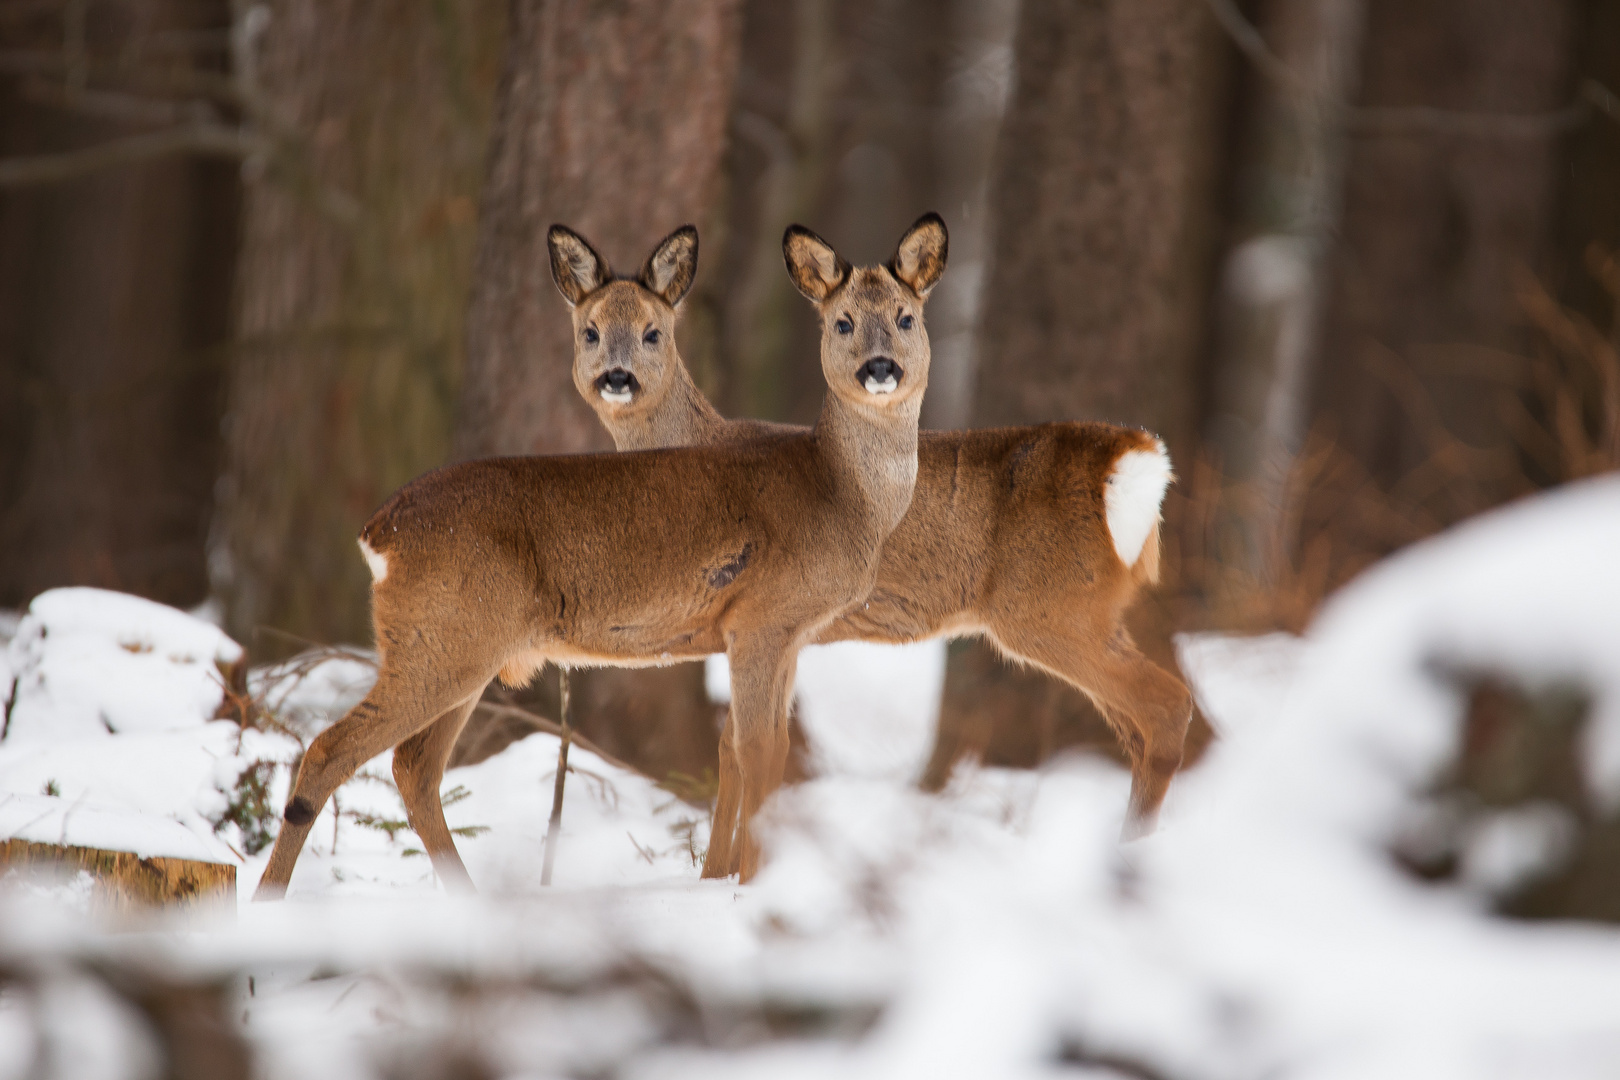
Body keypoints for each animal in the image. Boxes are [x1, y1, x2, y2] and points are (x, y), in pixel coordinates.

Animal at [252, 213, 946, 893]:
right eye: (842, 321)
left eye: (907, 317)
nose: (880, 368)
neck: (837, 492)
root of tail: (378, 533)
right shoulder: (762, 620)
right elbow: (756, 753)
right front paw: (750, 887)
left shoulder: (788, 636)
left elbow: (762, 753)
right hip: (440, 640)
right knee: (330, 749)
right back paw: (268, 899)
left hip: (461, 647)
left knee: (413, 765)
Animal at [550, 223, 1198, 841]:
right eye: (589, 331)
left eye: (653, 332)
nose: (616, 378)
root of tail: (1136, 456)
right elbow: (735, 747)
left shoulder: (762, 619)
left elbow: (741, 748)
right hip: (1093, 611)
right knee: (1140, 724)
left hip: (1049, 606)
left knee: (1166, 705)